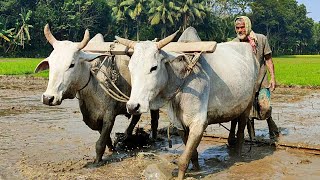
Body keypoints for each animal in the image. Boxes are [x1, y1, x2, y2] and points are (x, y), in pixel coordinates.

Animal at [35, 24, 159, 164]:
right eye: (51, 64)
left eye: (72, 64)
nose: (48, 98)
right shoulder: (92, 117)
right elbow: (105, 138)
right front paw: (112, 148)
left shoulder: (109, 115)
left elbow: (100, 143)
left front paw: (97, 161)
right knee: (136, 116)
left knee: (153, 118)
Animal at [116, 31, 258, 179]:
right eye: (130, 68)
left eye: (153, 67)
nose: (133, 106)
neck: (181, 81)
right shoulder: (179, 124)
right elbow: (192, 153)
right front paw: (196, 169)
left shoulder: (198, 124)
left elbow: (183, 159)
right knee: (234, 120)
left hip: (248, 103)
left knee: (241, 130)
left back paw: (237, 156)